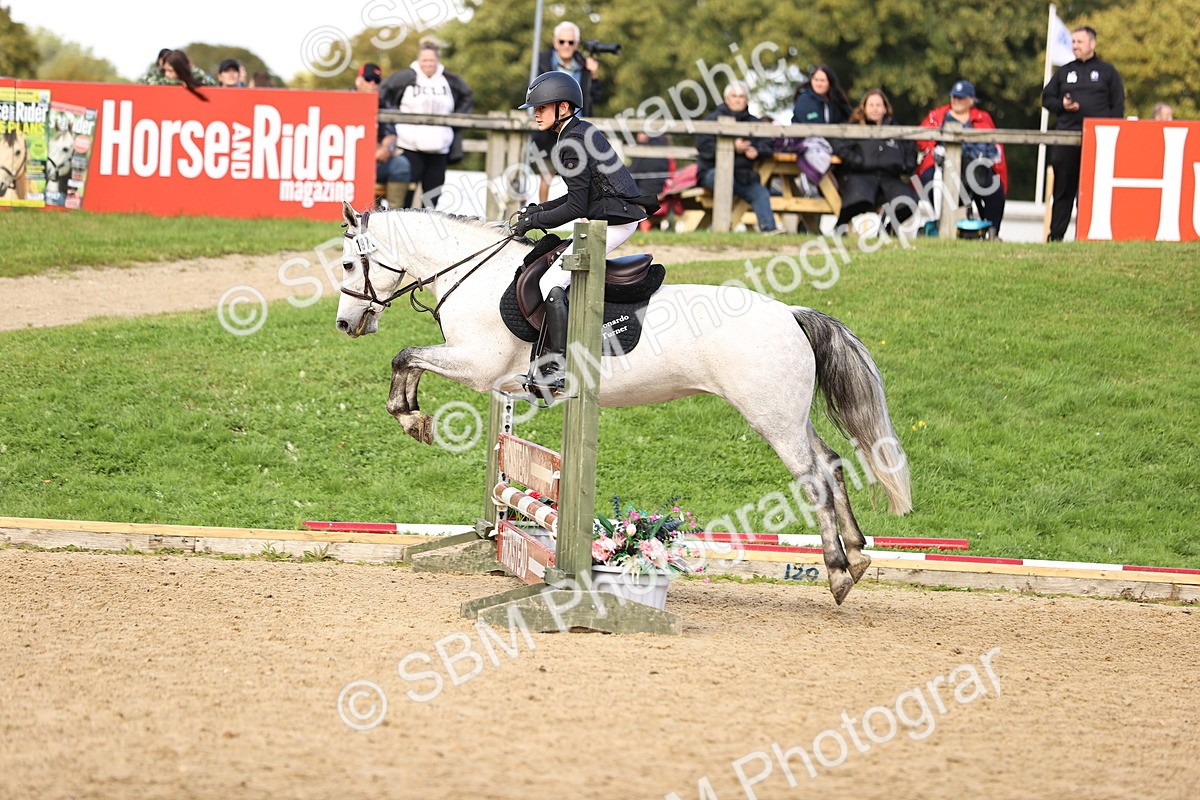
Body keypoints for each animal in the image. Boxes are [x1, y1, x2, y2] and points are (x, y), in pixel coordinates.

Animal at [333, 202, 912, 604]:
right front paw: (413, 415)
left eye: (347, 265)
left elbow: (405, 356)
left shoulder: (478, 366)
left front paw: (411, 417)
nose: (344, 324)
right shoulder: (489, 377)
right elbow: (409, 360)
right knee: (832, 463)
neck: (476, 277)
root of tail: (791, 313)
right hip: (789, 414)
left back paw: (838, 572)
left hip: (772, 417)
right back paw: (859, 555)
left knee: (814, 478)